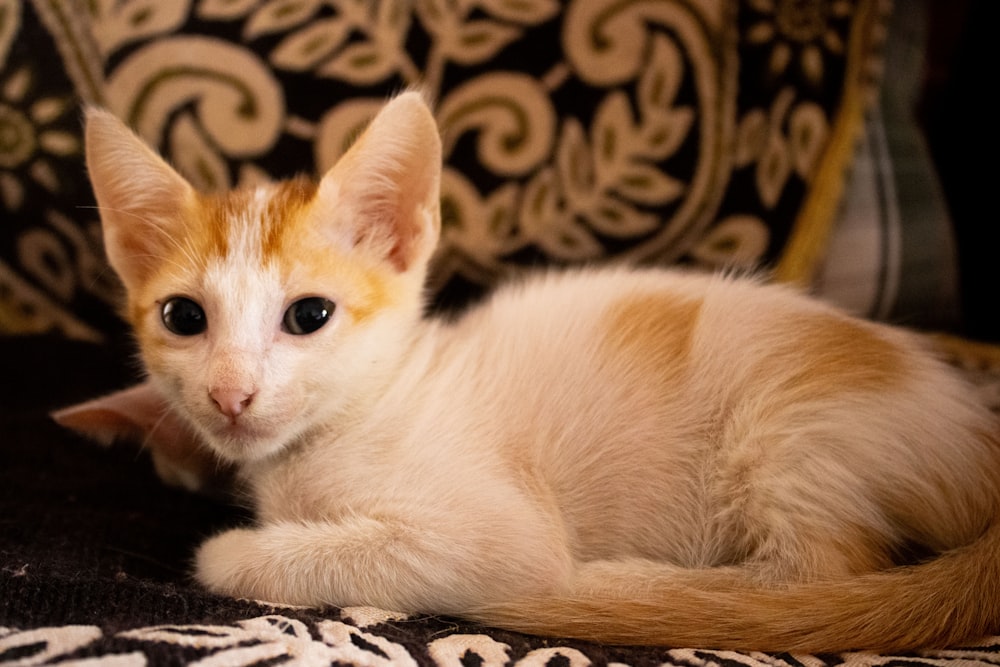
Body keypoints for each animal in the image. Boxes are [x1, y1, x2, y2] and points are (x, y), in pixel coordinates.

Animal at [54, 92, 1000, 652]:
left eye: (309, 316)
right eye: (184, 318)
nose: (230, 393)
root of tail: (973, 425)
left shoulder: (497, 532)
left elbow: (311, 551)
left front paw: (240, 549)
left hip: (789, 429)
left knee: (828, 569)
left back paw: (644, 586)